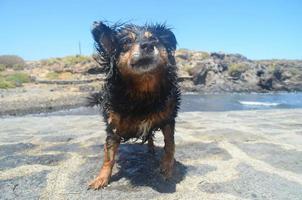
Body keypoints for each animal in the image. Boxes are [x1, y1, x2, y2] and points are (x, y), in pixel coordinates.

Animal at [88, 21, 180, 189]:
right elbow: (109, 157)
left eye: (154, 39)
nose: (147, 45)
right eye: (126, 42)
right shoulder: (113, 127)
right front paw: (102, 178)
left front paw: (167, 167)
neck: (143, 91)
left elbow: (170, 145)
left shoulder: (168, 119)